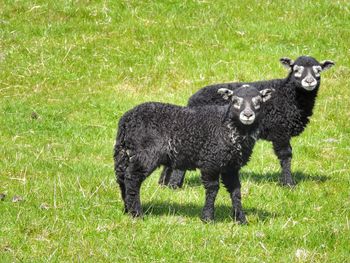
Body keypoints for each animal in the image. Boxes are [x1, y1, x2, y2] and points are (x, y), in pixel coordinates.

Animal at [114, 85, 274, 224]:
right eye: (234, 100)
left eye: (258, 101)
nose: (247, 115)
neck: (229, 128)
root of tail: (126, 119)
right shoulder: (211, 162)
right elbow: (212, 189)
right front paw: (208, 218)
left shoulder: (231, 166)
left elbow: (235, 191)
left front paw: (240, 219)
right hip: (145, 154)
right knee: (132, 178)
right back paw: (137, 214)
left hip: (125, 153)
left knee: (122, 177)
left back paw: (127, 210)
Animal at [160, 55, 334, 189]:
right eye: (296, 69)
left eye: (318, 70)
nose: (309, 82)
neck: (287, 95)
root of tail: (191, 100)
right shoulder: (279, 130)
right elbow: (286, 155)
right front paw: (288, 184)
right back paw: (173, 185)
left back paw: (163, 184)